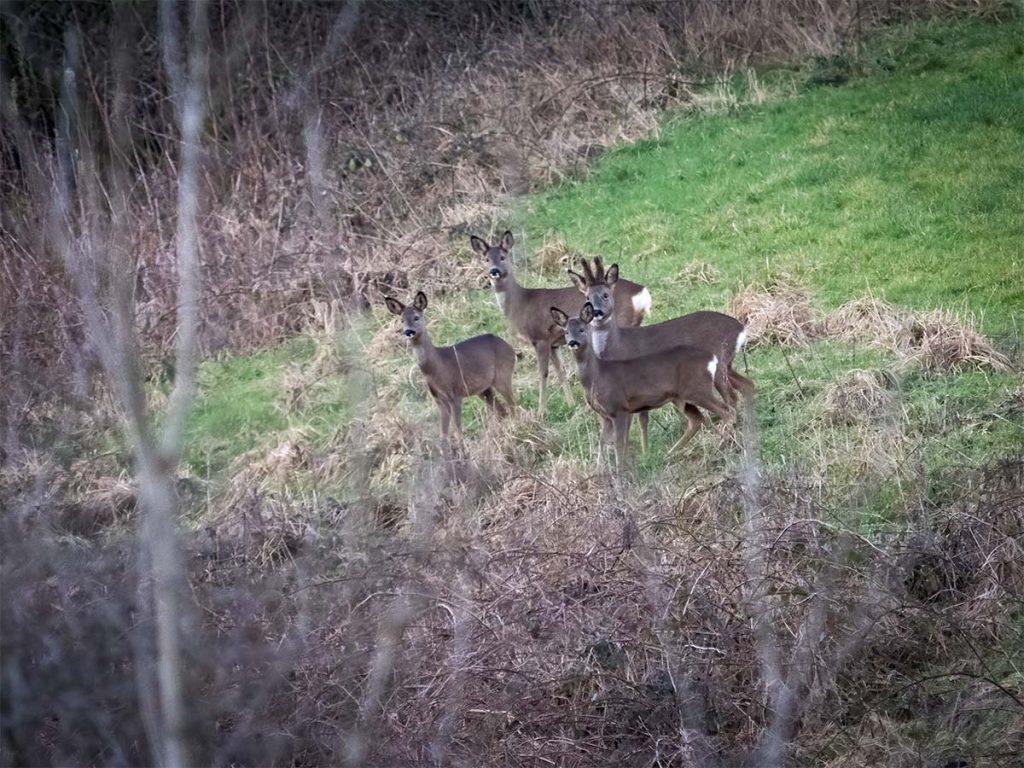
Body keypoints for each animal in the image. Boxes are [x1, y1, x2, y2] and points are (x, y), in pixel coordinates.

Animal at [384, 291, 516, 444]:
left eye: (416, 317)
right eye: (401, 320)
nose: (408, 332)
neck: (436, 368)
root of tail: (510, 349)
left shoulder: (455, 393)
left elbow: (458, 430)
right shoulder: (439, 399)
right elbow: (443, 433)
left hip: (503, 374)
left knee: (513, 405)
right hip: (483, 389)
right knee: (502, 410)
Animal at [470, 231, 651, 415]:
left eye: (502, 256)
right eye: (486, 259)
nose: (494, 271)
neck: (519, 304)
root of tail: (642, 294)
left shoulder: (540, 338)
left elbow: (543, 373)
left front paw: (541, 412)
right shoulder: (554, 344)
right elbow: (561, 371)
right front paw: (571, 404)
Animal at [551, 303, 732, 467]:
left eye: (582, 329)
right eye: (566, 332)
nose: (573, 342)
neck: (596, 376)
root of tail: (711, 359)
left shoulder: (619, 408)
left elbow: (619, 444)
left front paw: (621, 472)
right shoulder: (605, 415)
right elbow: (602, 444)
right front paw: (600, 471)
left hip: (697, 388)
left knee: (726, 410)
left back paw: (726, 442)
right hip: (680, 397)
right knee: (698, 419)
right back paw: (670, 454)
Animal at [567, 256, 753, 451]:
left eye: (605, 295)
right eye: (587, 298)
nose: (596, 312)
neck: (615, 346)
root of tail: (741, 330)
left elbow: (641, 419)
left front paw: (643, 450)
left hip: (719, 363)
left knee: (731, 398)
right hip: (727, 365)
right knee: (747, 386)